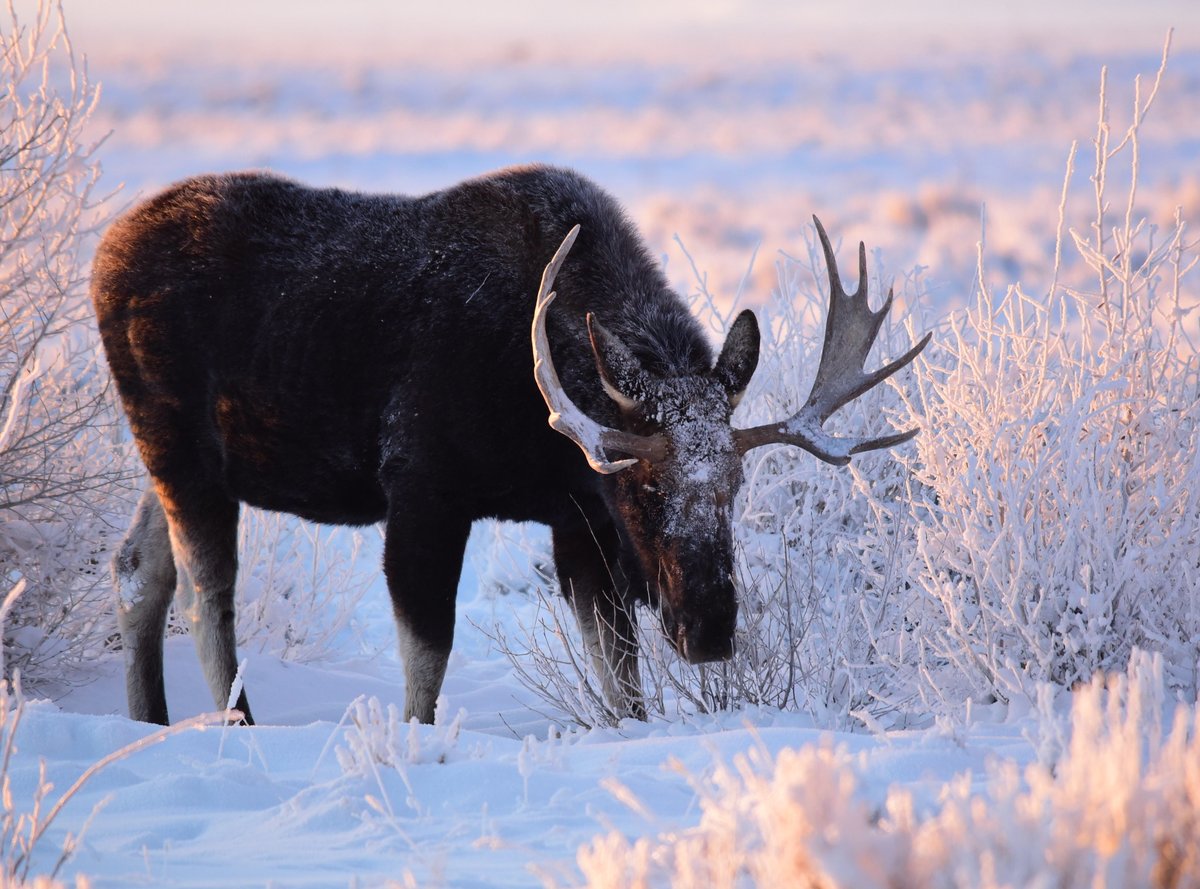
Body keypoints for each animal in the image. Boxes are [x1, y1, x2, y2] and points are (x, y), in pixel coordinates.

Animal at [91, 165, 929, 725]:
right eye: (644, 486)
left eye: (736, 485)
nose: (711, 626)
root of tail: (101, 257)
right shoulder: (424, 489)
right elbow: (427, 660)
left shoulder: (577, 517)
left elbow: (620, 673)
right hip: (178, 442)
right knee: (206, 592)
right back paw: (237, 724)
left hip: (198, 462)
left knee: (136, 566)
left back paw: (149, 718)